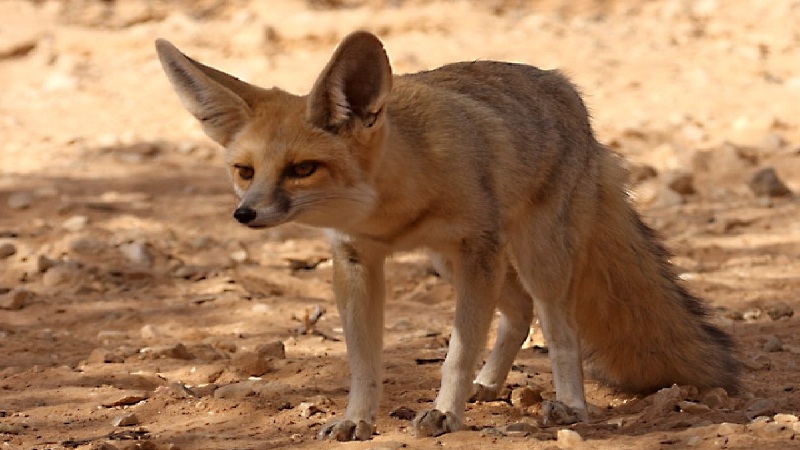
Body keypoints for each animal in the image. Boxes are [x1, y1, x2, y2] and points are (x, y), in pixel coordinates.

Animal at [155, 31, 740, 441]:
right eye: (245, 171)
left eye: (302, 170)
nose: (245, 214)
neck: (392, 210)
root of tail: (562, 84)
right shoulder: (356, 259)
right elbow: (363, 362)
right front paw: (357, 420)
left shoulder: (478, 248)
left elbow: (457, 350)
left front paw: (443, 413)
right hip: (450, 263)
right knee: (518, 313)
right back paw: (491, 384)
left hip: (534, 257)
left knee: (557, 326)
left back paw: (569, 405)